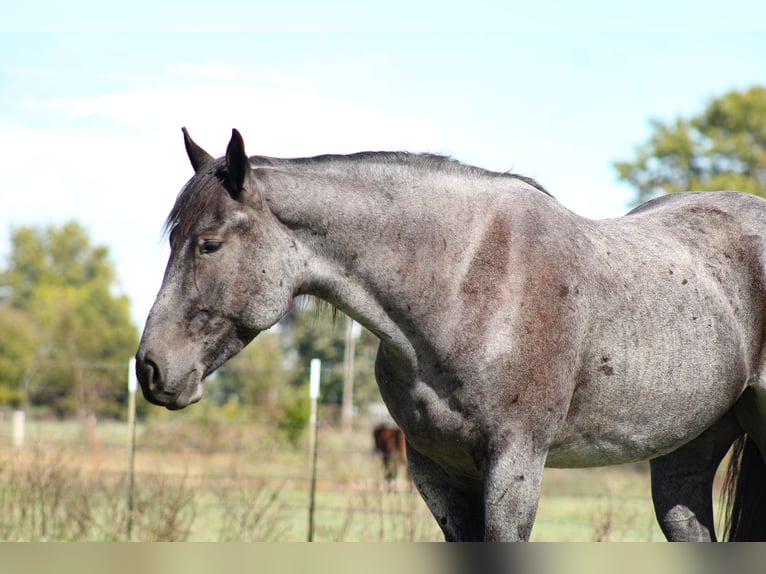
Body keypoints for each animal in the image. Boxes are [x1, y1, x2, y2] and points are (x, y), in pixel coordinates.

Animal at [135, 128, 766, 541]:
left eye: (209, 243)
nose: (151, 368)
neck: (467, 282)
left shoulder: (515, 465)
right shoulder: (436, 471)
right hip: (685, 452)